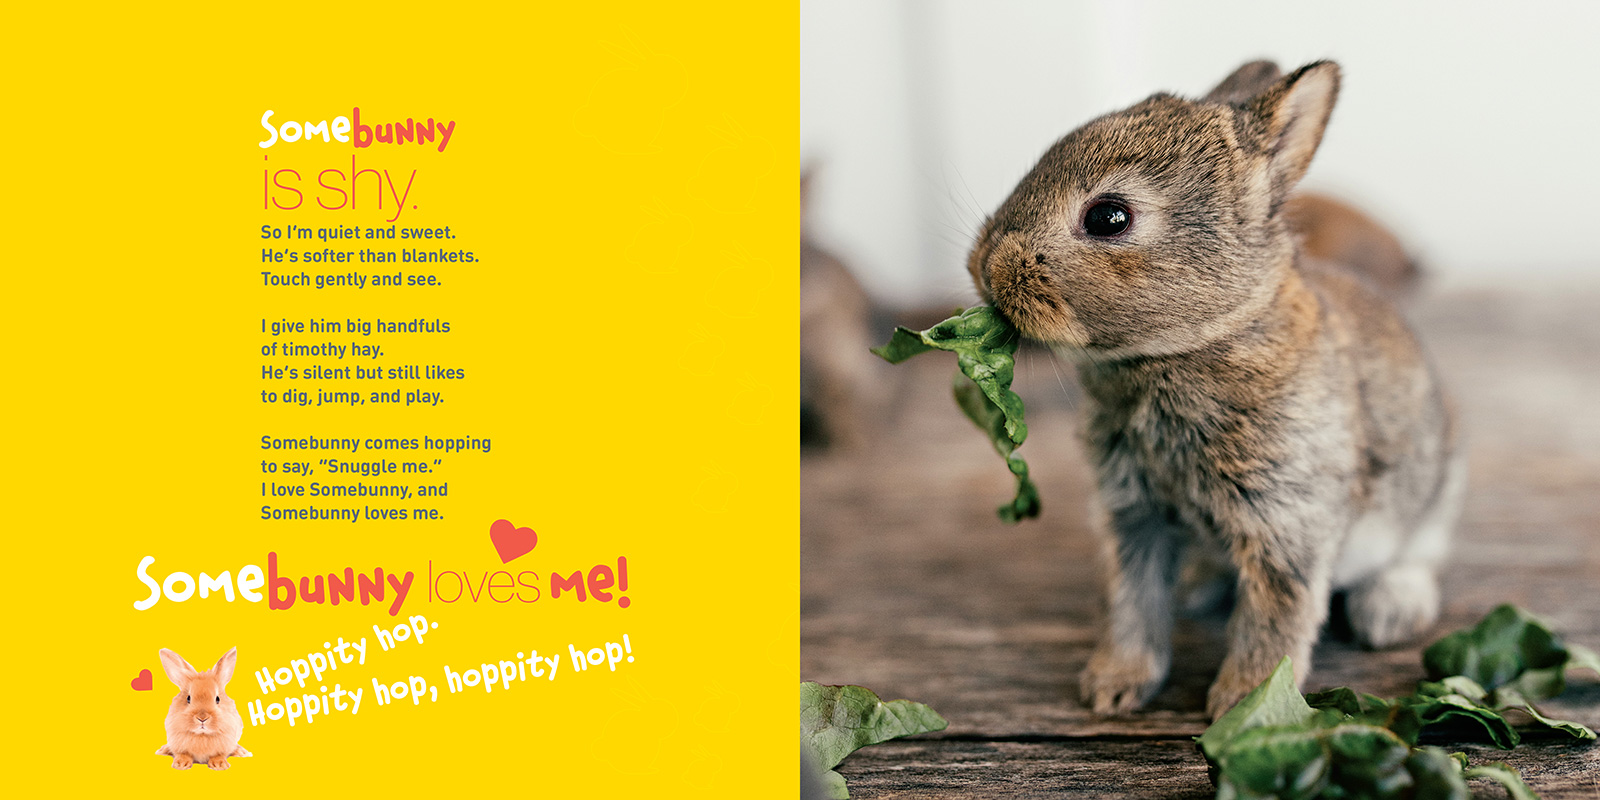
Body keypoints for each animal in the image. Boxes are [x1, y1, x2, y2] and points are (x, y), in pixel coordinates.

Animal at [965, 60, 1463, 720]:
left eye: (1109, 217)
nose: (984, 266)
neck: (1187, 349)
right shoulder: (1135, 515)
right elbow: (1133, 601)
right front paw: (1113, 687)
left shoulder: (1285, 520)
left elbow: (1274, 622)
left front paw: (1243, 707)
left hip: (1433, 496)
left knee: (1418, 554)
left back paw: (1389, 611)